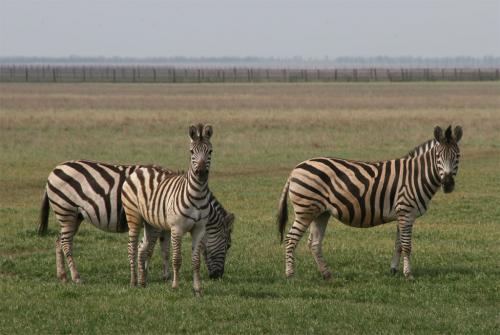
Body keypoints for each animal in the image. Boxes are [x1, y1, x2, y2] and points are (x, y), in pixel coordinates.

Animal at [37, 159, 232, 284]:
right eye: (228, 245)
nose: (218, 277)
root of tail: (54, 169)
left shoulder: (165, 226)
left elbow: (164, 250)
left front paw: (164, 275)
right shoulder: (156, 221)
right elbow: (150, 248)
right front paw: (144, 272)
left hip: (74, 216)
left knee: (59, 241)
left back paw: (62, 276)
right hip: (67, 211)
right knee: (66, 243)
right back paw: (76, 277)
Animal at [123, 123, 215, 296]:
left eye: (210, 151)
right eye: (191, 151)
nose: (200, 173)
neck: (198, 194)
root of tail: (141, 168)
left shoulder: (199, 229)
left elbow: (196, 261)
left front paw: (198, 290)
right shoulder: (176, 228)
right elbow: (177, 259)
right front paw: (175, 286)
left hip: (150, 223)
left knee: (142, 249)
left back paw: (143, 282)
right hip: (133, 216)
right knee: (132, 248)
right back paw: (133, 281)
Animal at [278, 126, 460, 280]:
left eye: (457, 156)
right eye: (438, 156)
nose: (448, 184)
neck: (416, 175)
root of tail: (295, 169)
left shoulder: (401, 213)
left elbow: (399, 244)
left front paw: (394, 270)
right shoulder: (406, 212)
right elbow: (407, 245)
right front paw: (408, 275)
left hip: (321, 213)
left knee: (314, 243)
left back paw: (327, 274)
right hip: (305, 210)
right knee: (291, 239)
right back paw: (291, 275)